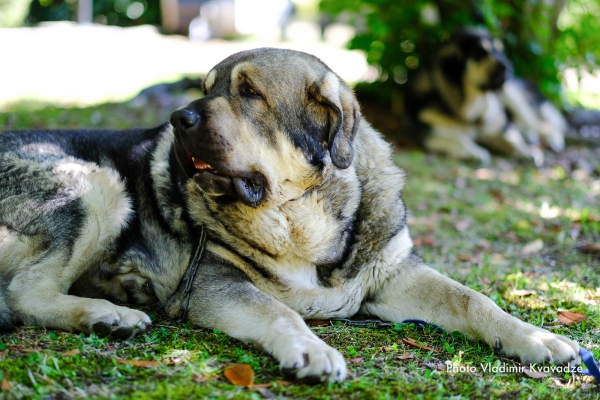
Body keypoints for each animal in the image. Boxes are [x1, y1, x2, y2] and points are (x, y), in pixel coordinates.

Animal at [0, 48, 580, 382]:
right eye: (206, 89)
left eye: (249, 93)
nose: (178, 118)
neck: (301, 213)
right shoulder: (214, 281)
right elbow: (281, 311)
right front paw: (311, 350)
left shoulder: (394, 274)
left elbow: (472, 299)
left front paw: (536, 338)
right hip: (99, 185)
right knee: (26, 293)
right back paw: (108, 314)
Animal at [406, 28, 564, 163]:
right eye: (480, 53)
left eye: (500, 52)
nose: (508, 66)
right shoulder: (429, 131)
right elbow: (458, 138)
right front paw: (474, 151)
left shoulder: (498, 127)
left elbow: (512, 139)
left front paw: (526, 151)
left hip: (513, 96)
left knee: (543, 124)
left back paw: (553, 139)